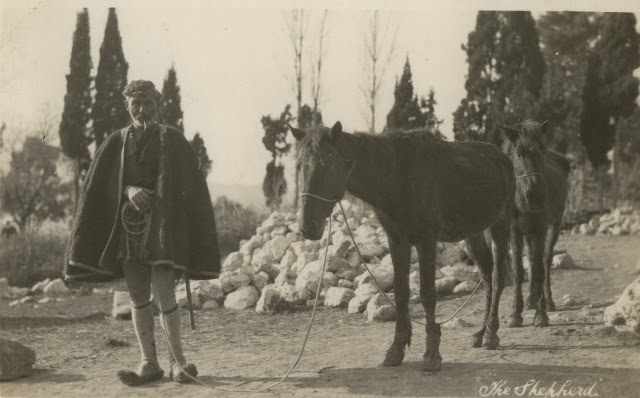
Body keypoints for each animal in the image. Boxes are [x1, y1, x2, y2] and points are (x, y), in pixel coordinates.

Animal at [290, 123, 516, 372]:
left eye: (327, 164)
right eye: (299, 166)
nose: (307, 227)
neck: (397, 177)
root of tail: (502, 156)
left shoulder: (426, 240)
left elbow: (427, 294)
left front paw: (432, 354)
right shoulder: (397, 241)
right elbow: (400, 293)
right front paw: (396, 349)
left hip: (500, 227)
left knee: (497, 277)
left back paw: (491, 334)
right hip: (473, 234)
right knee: (486, 277)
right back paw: (480, 332)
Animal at [500, 121, 568, 330]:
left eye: (542, 152)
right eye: (518, 153)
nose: (536, 197)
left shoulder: (540, 229)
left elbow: (538, 269)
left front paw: (541, 314)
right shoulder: (514, 231)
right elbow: (519, 270)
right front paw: (516, 314)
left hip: (553, 227)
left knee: (545, 260)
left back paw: (548, 301)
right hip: (527, 233)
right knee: (530, 259)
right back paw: (530, 299)